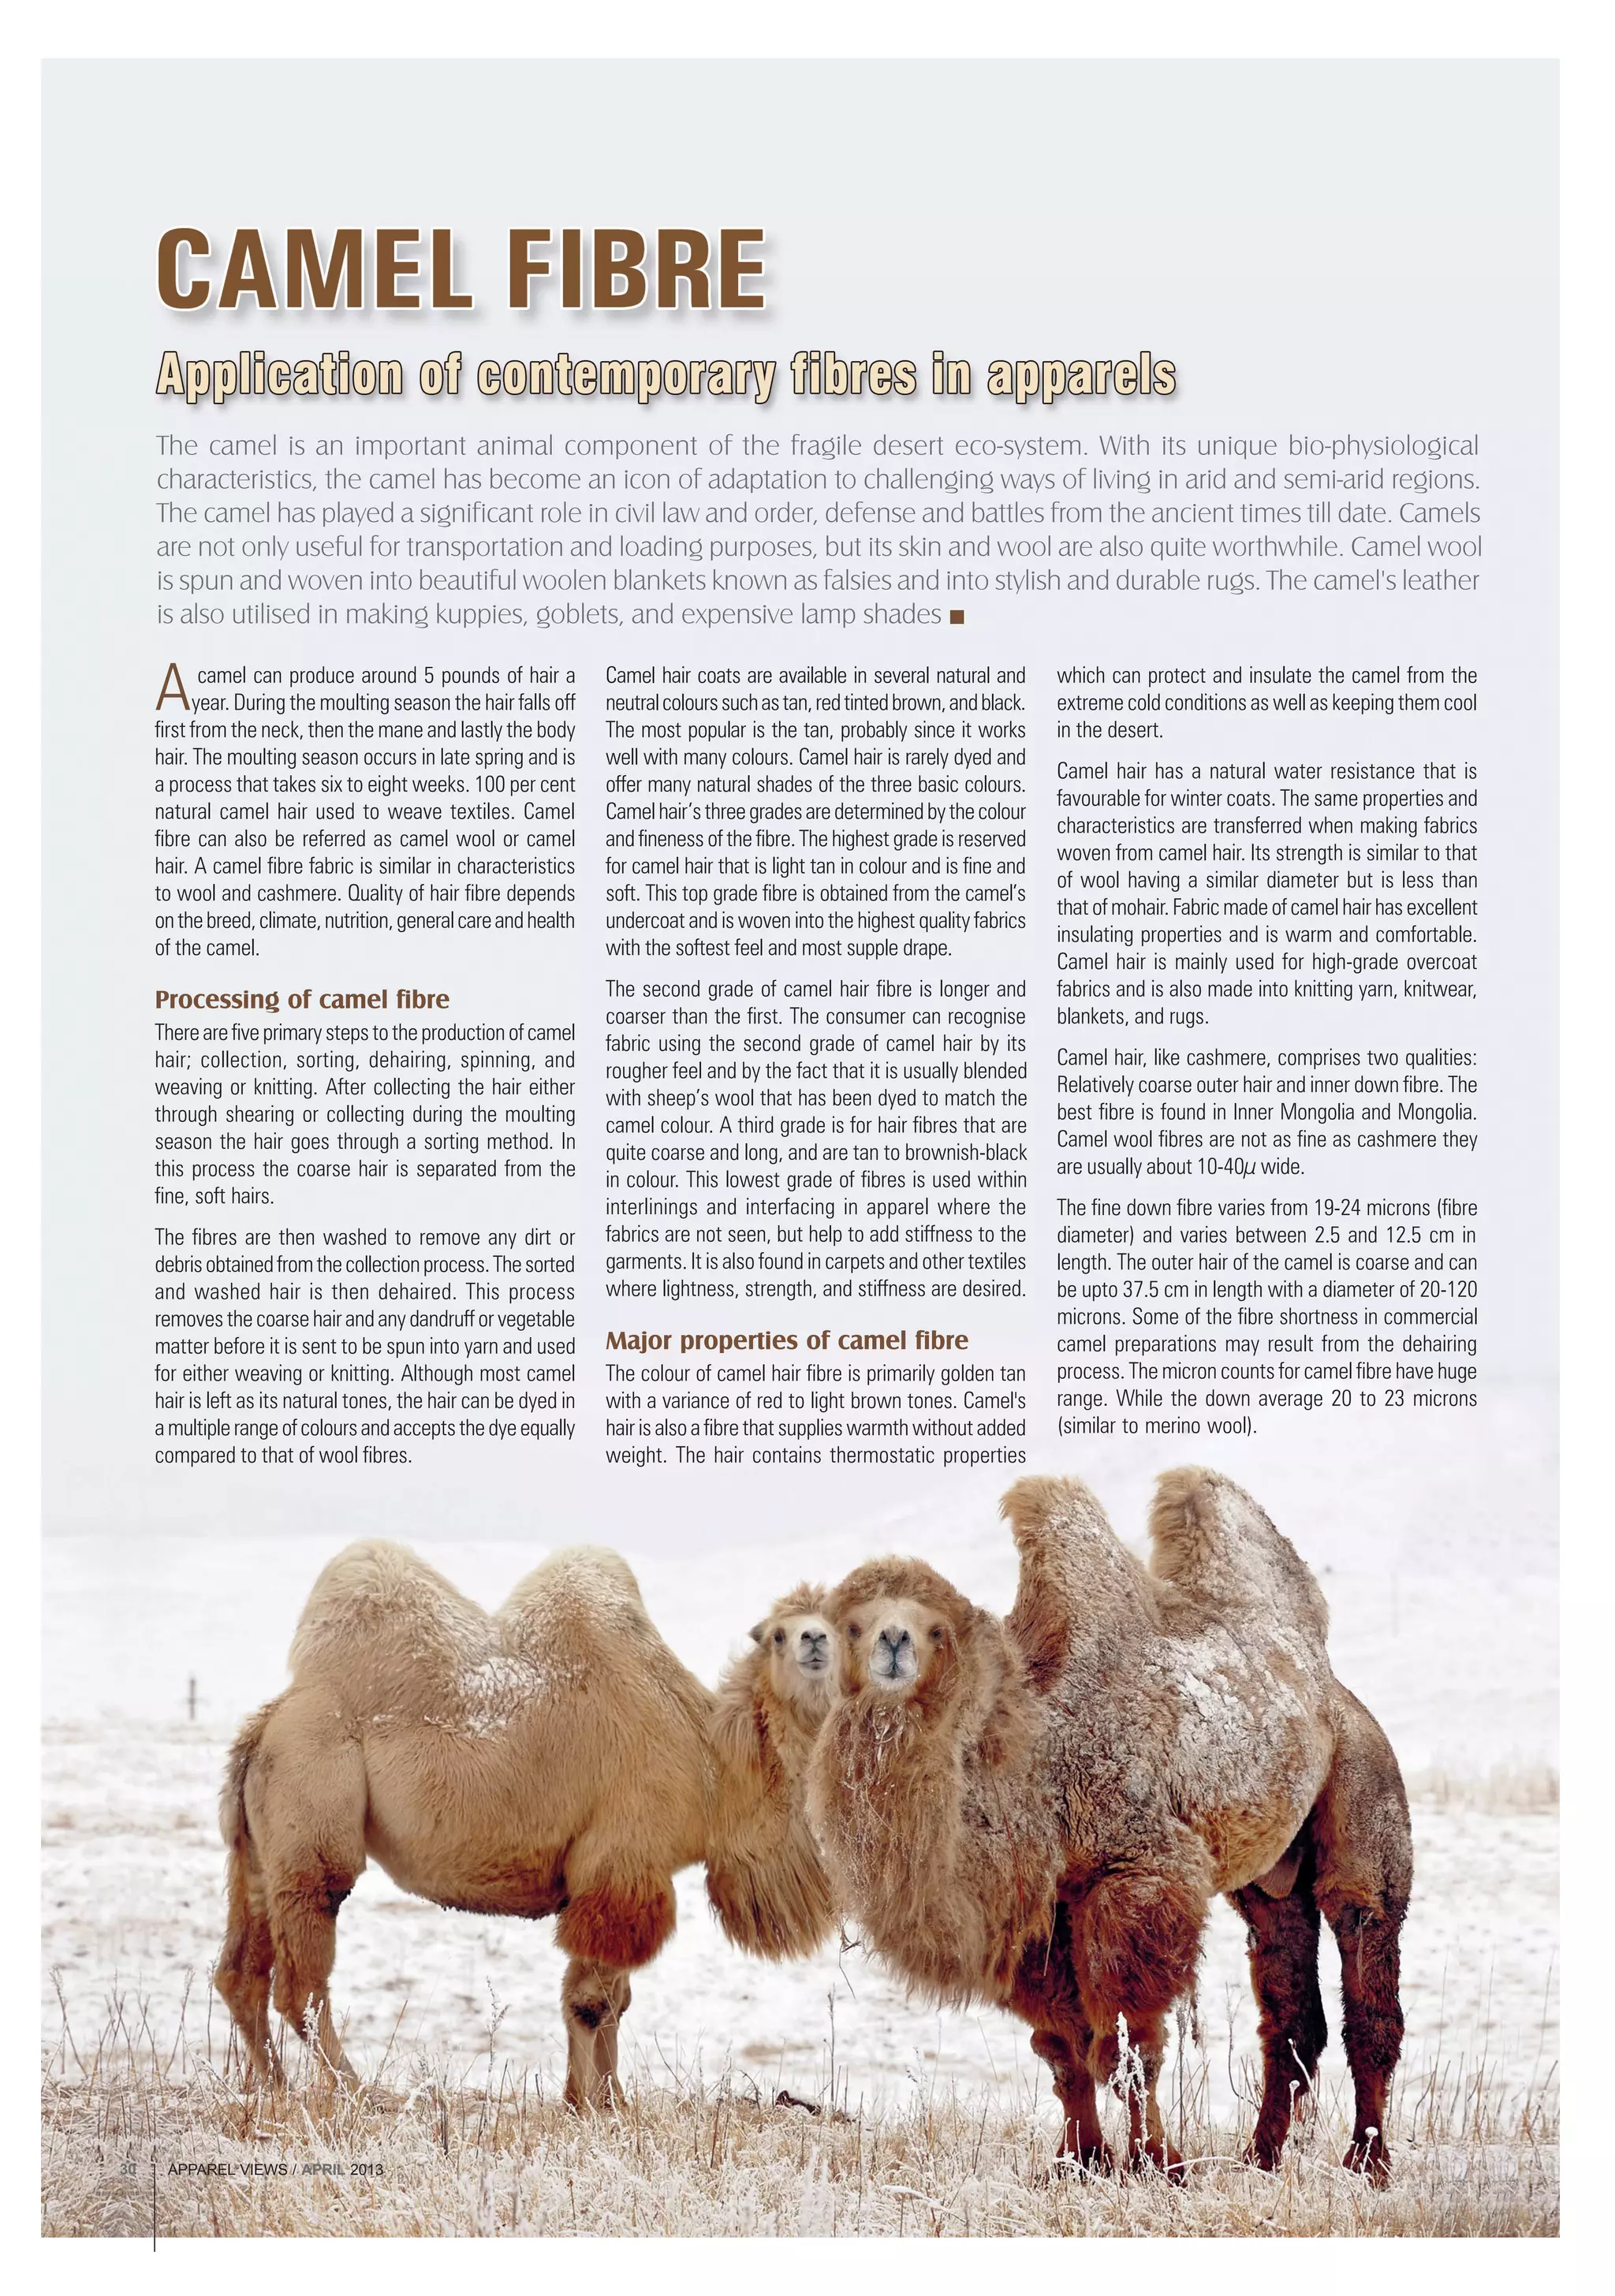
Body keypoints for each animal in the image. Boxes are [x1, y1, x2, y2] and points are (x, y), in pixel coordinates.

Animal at [215, 1545, 836, 2109]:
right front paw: (588, 2105)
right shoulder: (621, 1866)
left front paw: (611, 2100)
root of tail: (265, 1724)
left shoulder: (619, 1878)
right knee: (302, 1982)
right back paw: (360, 2092)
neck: (710, 1766)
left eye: (837, 1625)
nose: (815, 1641)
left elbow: (616, 1999)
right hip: (313, 1813)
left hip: (260, 1849)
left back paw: (272, 2090)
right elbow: (592, 2002)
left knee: (242, 1973)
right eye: (778, 1635)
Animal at [806, 1469, 1411, 2182]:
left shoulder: (1135, 1877)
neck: (1032, 1760)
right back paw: (1258, 2159)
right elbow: (1063, 2050)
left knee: (1366, 1961)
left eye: (935, 1631)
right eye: (850, 1626)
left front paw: (1159, 2165)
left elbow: (1130, 2049)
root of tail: (1334, 1688)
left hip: (1365, 1785)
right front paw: (1078, 2162)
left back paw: (1366, 2163)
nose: (892, 1645)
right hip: (1270, 1879)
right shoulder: (1042, 1915)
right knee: (1290, 2010)